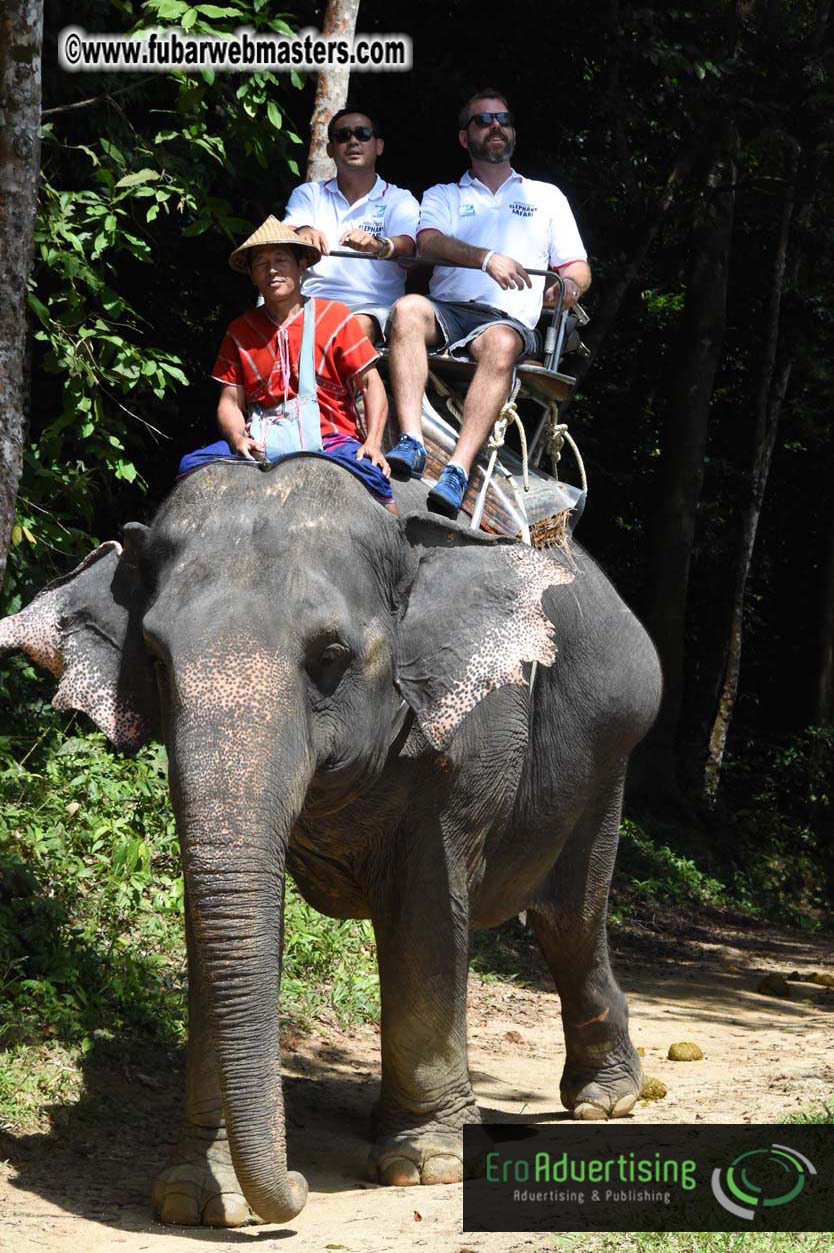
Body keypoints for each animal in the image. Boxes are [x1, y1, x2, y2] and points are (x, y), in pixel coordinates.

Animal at [0, 455, 662, 1228]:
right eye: (157, 659)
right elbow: (216, 923)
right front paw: (198, 1198)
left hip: (608, 754)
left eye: (331, 656)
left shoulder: (468, 734)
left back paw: (605, 1099)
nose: (297, 1189)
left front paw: (424, 1167)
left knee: (570, 920)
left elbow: (427, 912)